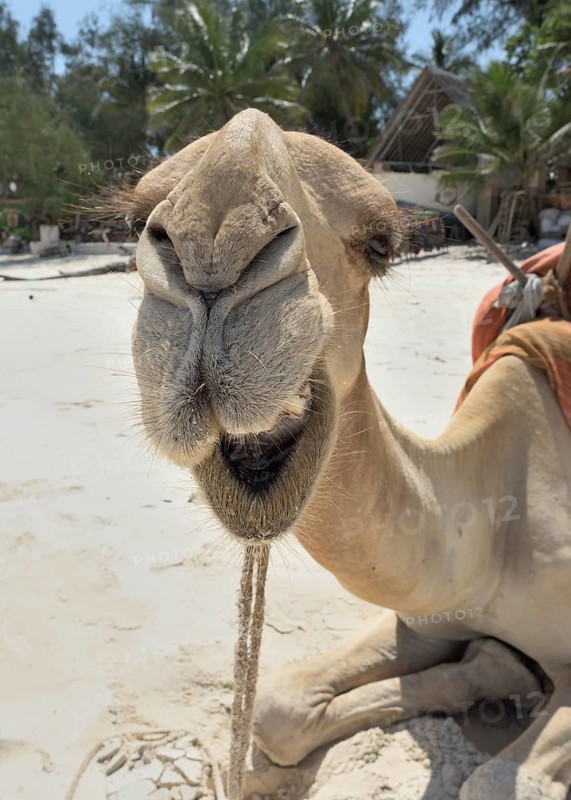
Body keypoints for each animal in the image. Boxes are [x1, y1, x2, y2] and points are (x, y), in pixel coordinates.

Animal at [128, 109, 571, 800]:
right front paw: (494, 667)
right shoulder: (424, 618)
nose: (214, 243)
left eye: (381, 244)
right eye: (134, 219)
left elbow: (494, 781)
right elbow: (278, 708)